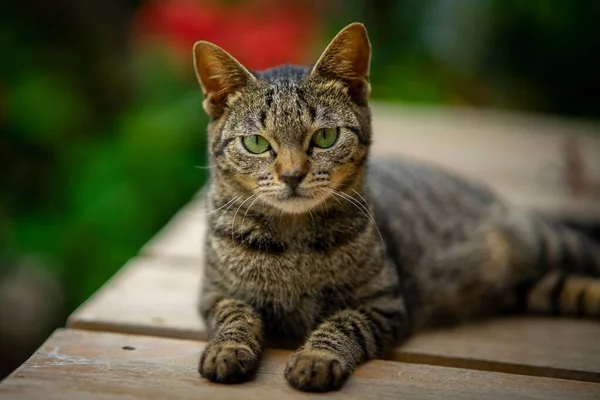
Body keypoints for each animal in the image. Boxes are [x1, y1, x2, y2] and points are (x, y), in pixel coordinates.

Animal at [192, 23, 600, 392]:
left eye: (325, 137)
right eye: (257, 143)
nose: (292, 175)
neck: (294, 243)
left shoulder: (384, 303)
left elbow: (341, 325)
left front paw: (316, 357)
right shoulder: (215, 294)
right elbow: (235, 316)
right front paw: (227, 350)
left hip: (549, 243)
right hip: (529, 286)